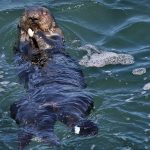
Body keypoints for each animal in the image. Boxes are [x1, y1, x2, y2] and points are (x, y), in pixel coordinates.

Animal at [9, 6, 98, 149]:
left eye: (43, 12)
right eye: (25, 12)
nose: (33, 17)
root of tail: (50, 106)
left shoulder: (57, 36)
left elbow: (51, 42)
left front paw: (38, 35)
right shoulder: (20, 44)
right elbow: (25, 47)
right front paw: (31, 36)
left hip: (77, 101)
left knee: (72, 117)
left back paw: (87, 130)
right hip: (23, 108)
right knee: (34, 125)